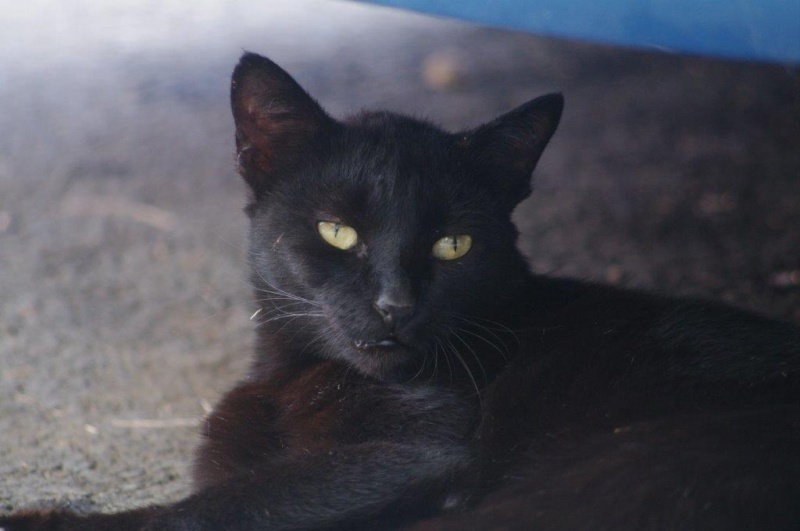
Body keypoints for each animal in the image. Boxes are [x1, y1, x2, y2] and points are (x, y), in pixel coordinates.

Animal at [1, 52, 800, 528]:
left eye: (454, 244)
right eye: (337, 232)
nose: (394, 303)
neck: (291, 376)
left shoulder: (421, 453)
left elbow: (207, 506)